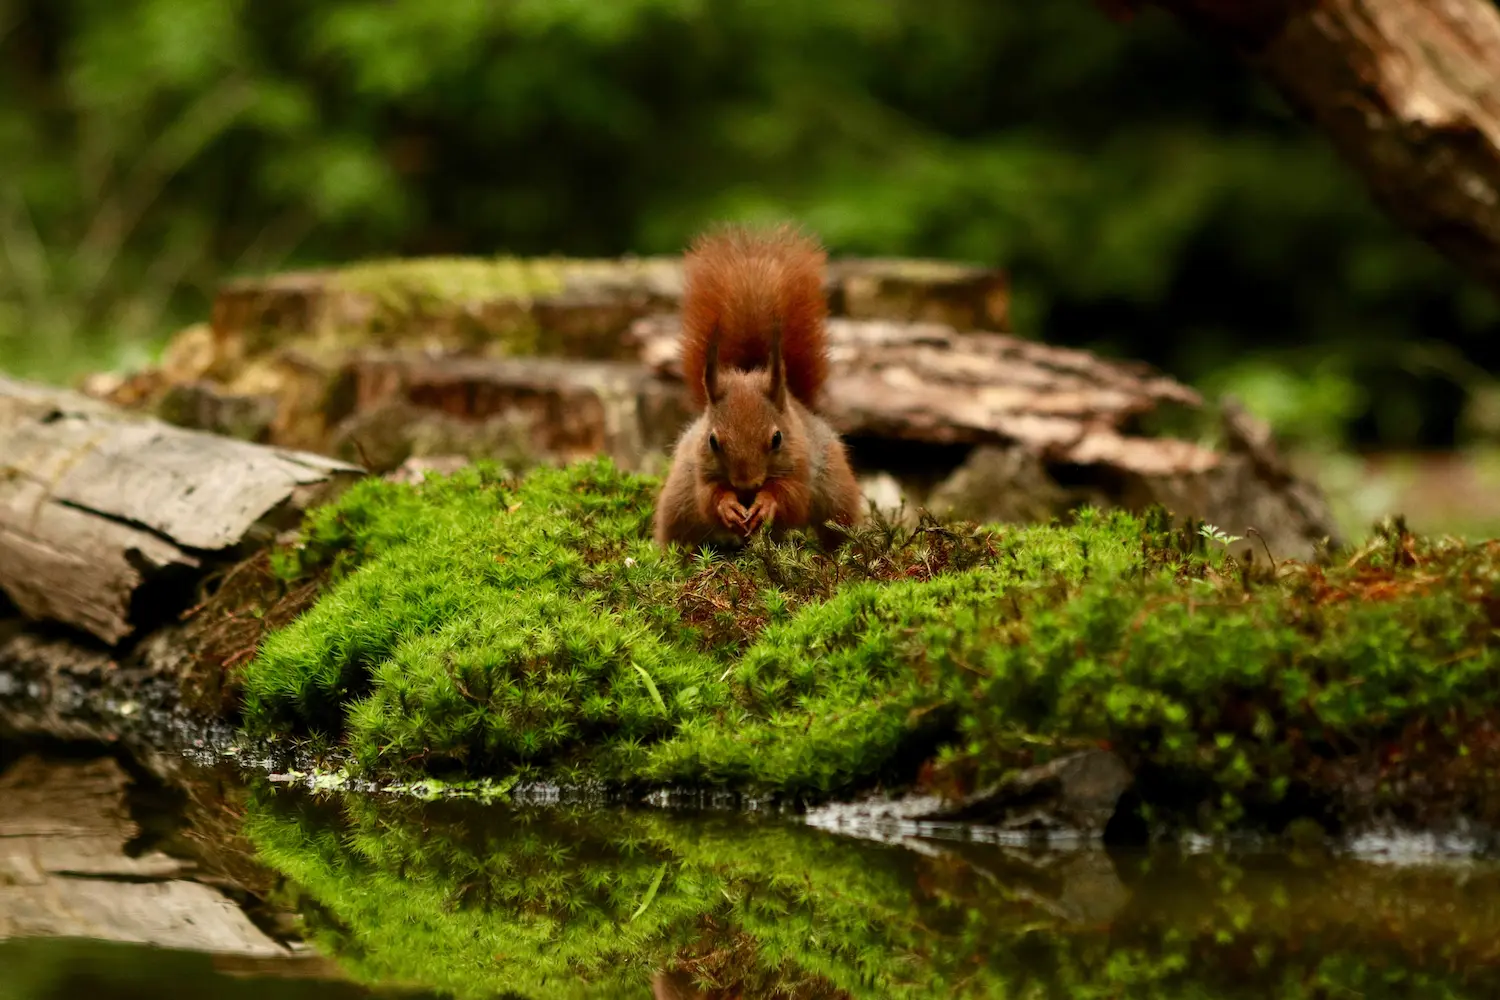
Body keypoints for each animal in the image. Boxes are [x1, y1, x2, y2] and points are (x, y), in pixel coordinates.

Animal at [651, 221, 864, 551]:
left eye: (777, 438)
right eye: (713, 441)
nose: (746, 484)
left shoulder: (801, 468)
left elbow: (790, 497)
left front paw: (765, 503)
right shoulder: (701, 472)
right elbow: (709, 498)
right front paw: (728, 505)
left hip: (836, 493)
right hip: (677, 500)